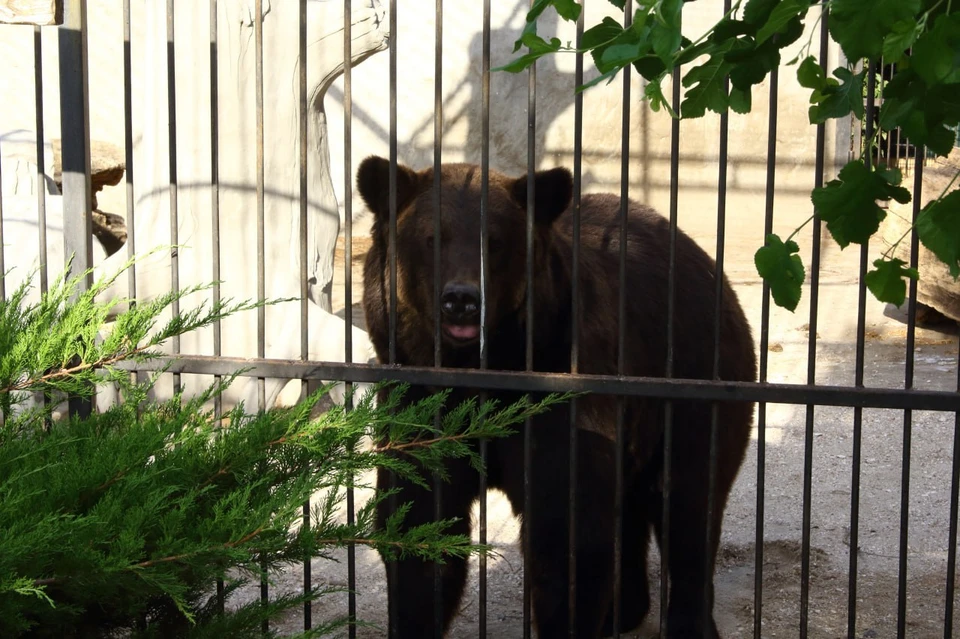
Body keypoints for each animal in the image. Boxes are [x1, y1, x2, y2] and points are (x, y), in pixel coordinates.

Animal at [356, 156, 752, 639]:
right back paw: (623, 611)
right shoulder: (420, 403)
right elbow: (419, 523)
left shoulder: (562, 385)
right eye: (432, 238)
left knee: (688, 503)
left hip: (695, 377)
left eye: (496, 241)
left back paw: (685, 623)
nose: (462, 300)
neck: (483, 375)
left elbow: (566, 531)